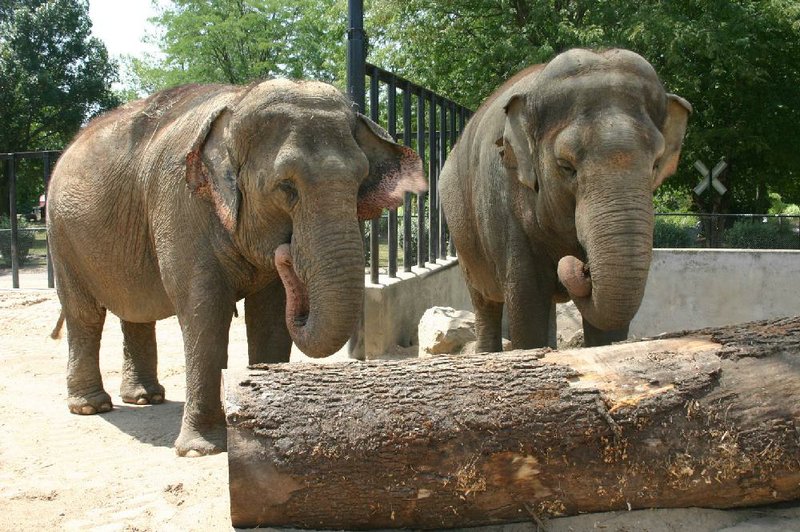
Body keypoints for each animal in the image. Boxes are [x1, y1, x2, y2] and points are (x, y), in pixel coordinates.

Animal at [46, 80, 424, 458]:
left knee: (136, 310)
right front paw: (200, 450)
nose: (286, 253)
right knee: (85, 314)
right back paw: (91, 406)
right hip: (61, 235)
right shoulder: (181, 205)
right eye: (286, 187)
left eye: (360, 182)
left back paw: (144, 398)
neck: (238, 103)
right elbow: (206, 313)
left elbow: (270, 316)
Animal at [440, 47, 692, 352]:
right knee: (485, 301)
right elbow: (527, 302)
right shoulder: (502, 199)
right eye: (565, 166)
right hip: (463, 238)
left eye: (656, 164)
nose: (582, 266)